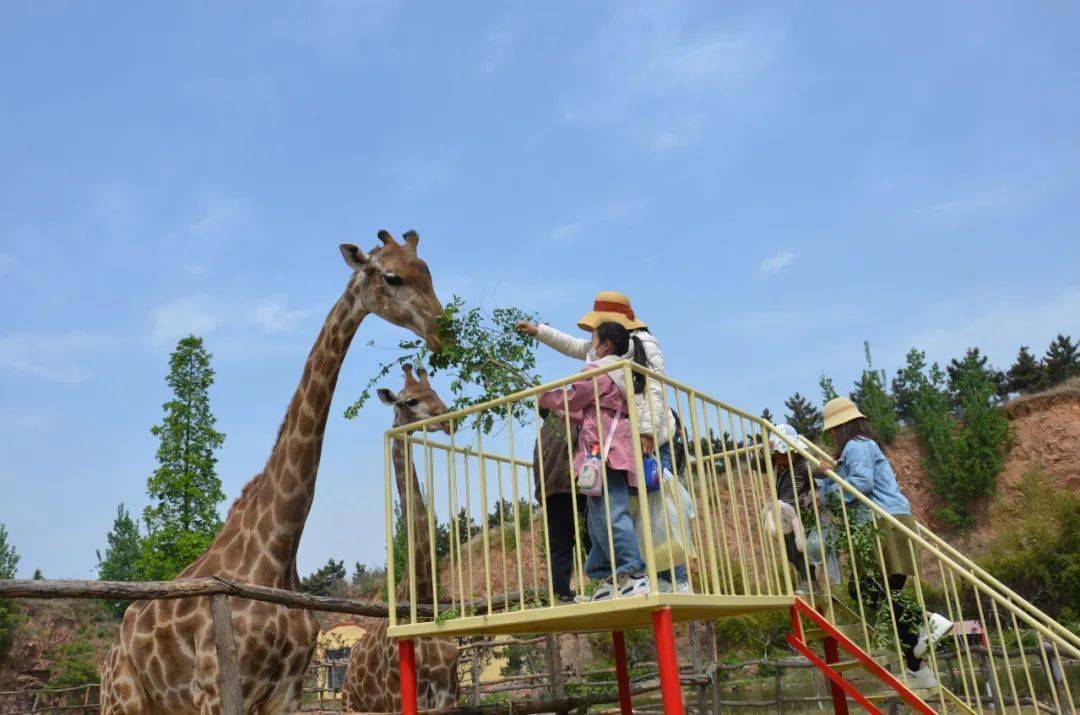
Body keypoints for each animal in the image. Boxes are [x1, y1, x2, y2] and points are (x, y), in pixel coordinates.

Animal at [97, 232, 442, 712]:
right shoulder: (217, 687)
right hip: (123, 699)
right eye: (392, 276)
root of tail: (111, 653)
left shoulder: (287, 689)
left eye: (427, 270)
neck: (278, 551)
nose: (441, 328)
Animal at [341, 367, 460, 712]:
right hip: (352, 706)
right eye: (411, 400)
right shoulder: (401, 697)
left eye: (436, 391)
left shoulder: (450, 696)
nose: (448, 421)